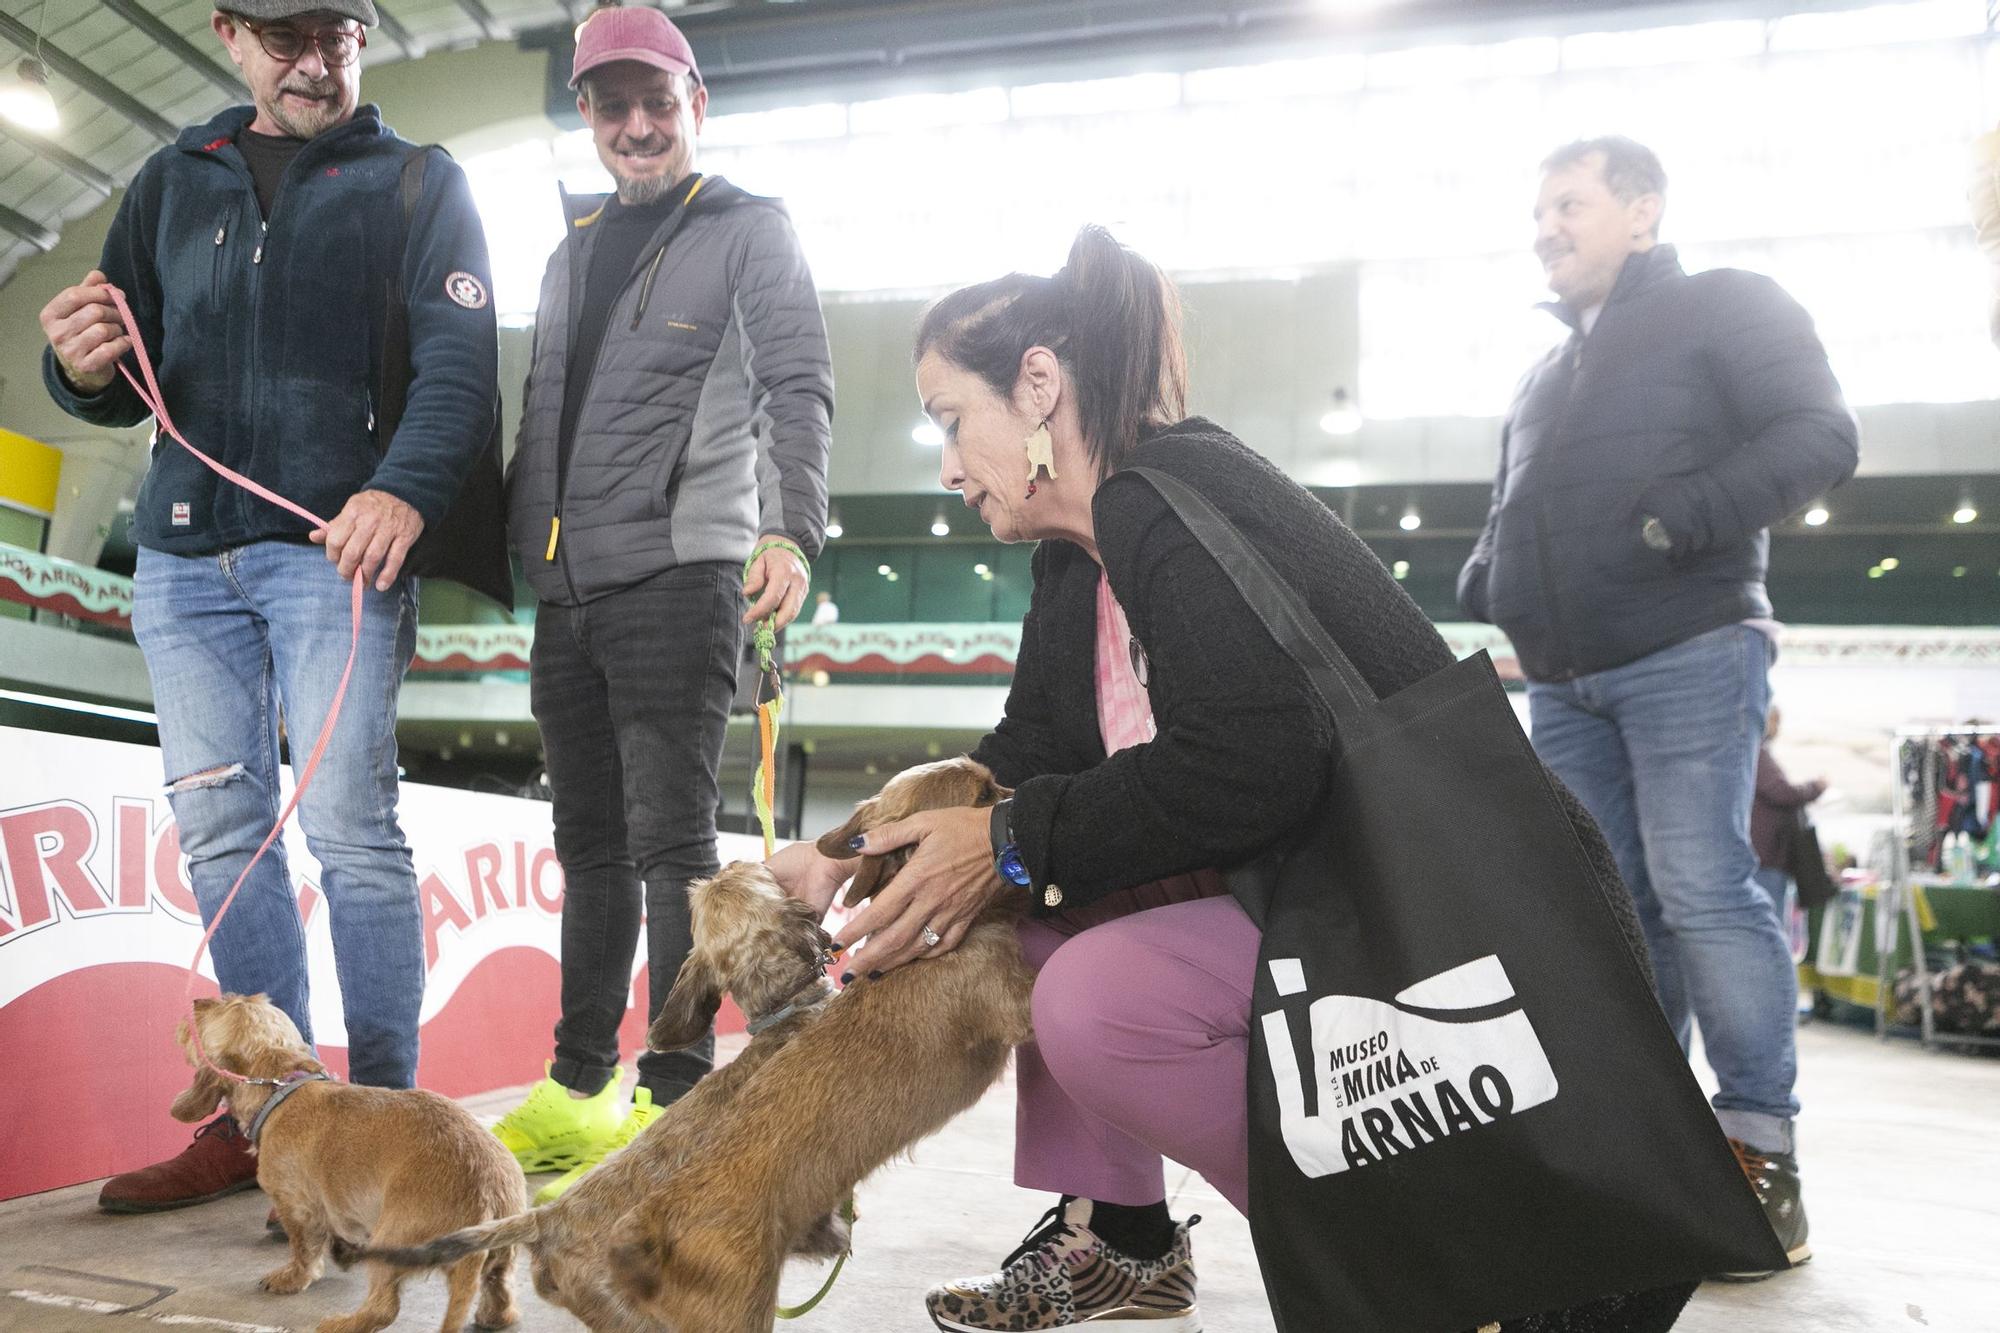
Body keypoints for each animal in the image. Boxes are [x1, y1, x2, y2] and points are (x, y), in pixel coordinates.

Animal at [170, 984, 524, 1328]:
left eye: (223, 1005)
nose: (196, 1001)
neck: (282, 1088)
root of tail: (485, 1198)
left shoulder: (297, 1206)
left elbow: (303, 1249)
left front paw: (291, 1278)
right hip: (501, 1255)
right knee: (501, 1289)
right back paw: (493, 1315)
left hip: (392, 1241)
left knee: (383, 1309)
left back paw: (340, 1323)